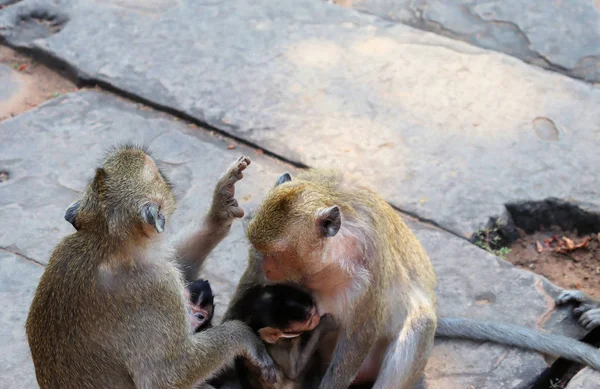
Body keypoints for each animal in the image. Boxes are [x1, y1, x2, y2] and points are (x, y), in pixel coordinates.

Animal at [24, 146, 276, 388]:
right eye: (157, 173)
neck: (103, 243)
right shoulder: (158, 286)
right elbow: (166, 376)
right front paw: (244, 336)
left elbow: (182, 267)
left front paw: (220, 209)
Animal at [221, 169, 600, 388]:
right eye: (258, 250)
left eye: (278, 254)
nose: (269, 269)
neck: (326, 259)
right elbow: (247, 293)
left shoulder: (368, 269)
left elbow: (361, 333)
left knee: (418, 325)